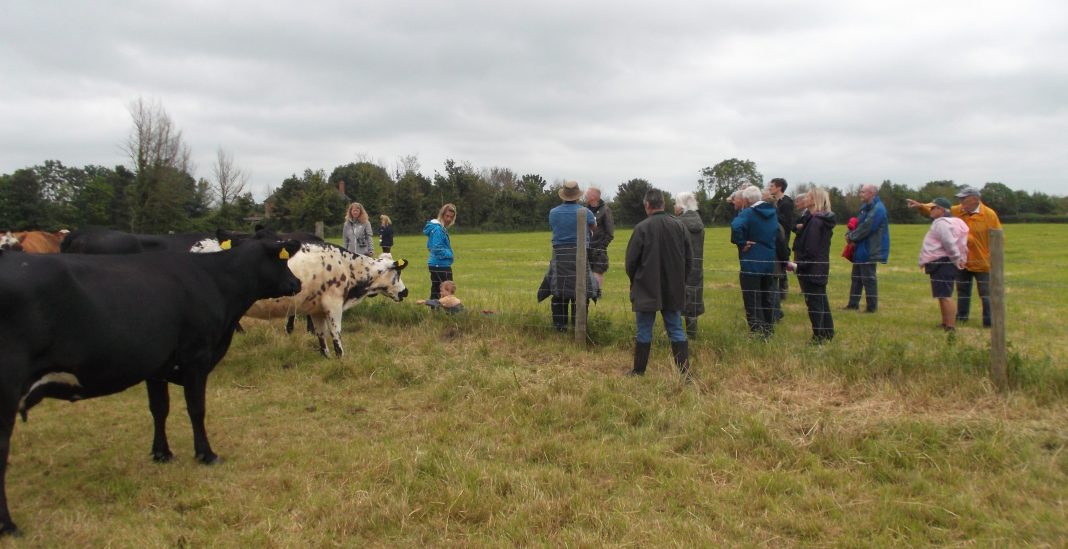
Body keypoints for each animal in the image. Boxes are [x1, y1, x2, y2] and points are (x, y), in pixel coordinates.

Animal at [0, 232, 305, 531]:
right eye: (282, 260)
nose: (298, 283)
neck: (215, 280)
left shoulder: (156, 366)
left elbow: (159, 409)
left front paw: (161, 453)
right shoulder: (196, 358)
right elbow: (196, 410)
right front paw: (206, 454)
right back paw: (8, 525)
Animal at [244, 242, 405, 354]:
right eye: (397, 273)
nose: (405, 292)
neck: (346, 266)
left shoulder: (317, 309)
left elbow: (321, 335)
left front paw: (326, 356)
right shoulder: (333, 305)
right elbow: (335, 334)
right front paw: (341, 358)